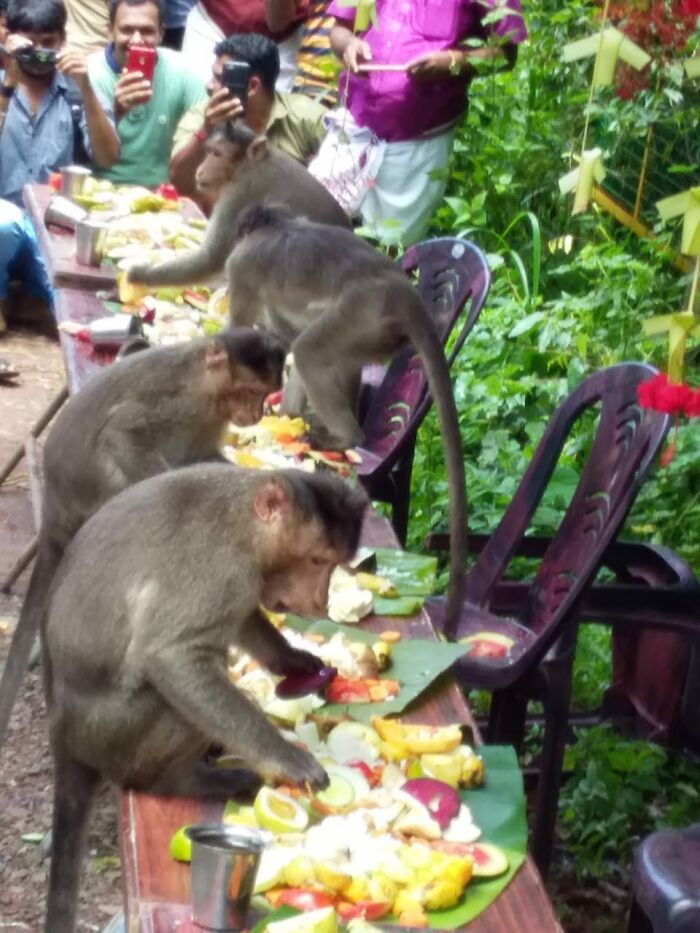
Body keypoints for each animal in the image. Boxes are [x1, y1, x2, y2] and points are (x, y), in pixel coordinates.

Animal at [0, 328, 286, 752]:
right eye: (251, 392)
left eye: (265, 395)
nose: (258, 414)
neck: (206, 382)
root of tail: (53, 511)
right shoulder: (181, 399)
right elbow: (122, 434)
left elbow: (201, 455)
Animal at [42, 463, 368, 933]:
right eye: (317, 561)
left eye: (333, 564)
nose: (320, 601)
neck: (247, 526)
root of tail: (63, 736)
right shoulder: (224, 571)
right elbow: (175, 655)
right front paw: (287, 758)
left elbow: (243, 619)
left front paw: (295, 662)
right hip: (114, 735)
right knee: (174, 698)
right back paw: (180, 781)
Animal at [125, 124, 349, 291]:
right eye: (209, 152)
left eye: (217, 154)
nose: (201, 169)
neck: (249, 163)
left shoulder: (242, 189)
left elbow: (211, 259)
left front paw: (138, 274)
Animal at [222, 204, 468, 629]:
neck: (277, 224)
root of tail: (402, 292)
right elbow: (281, 337)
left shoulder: (243, 263)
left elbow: (241, 330)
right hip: (373, 333)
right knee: (312, 349)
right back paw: (292, 417)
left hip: (364, 314)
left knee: (309, 350)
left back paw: (342, 436)